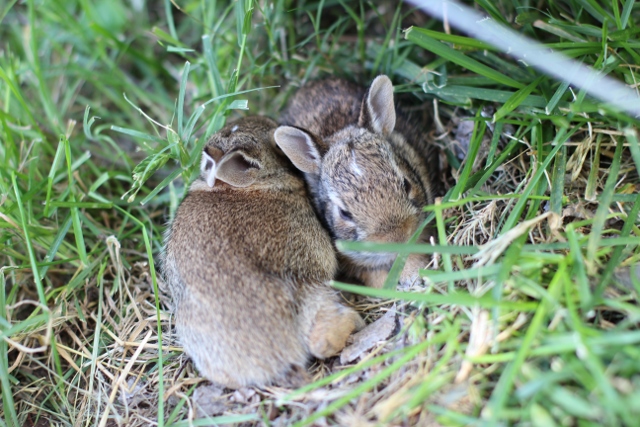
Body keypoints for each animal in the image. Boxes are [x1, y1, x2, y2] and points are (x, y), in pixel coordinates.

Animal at [162, 115, 362, 390]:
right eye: (277, 147)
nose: (268, 119)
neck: (241, 187)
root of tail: (281, 361)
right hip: (313, 296)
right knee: (322, 342)